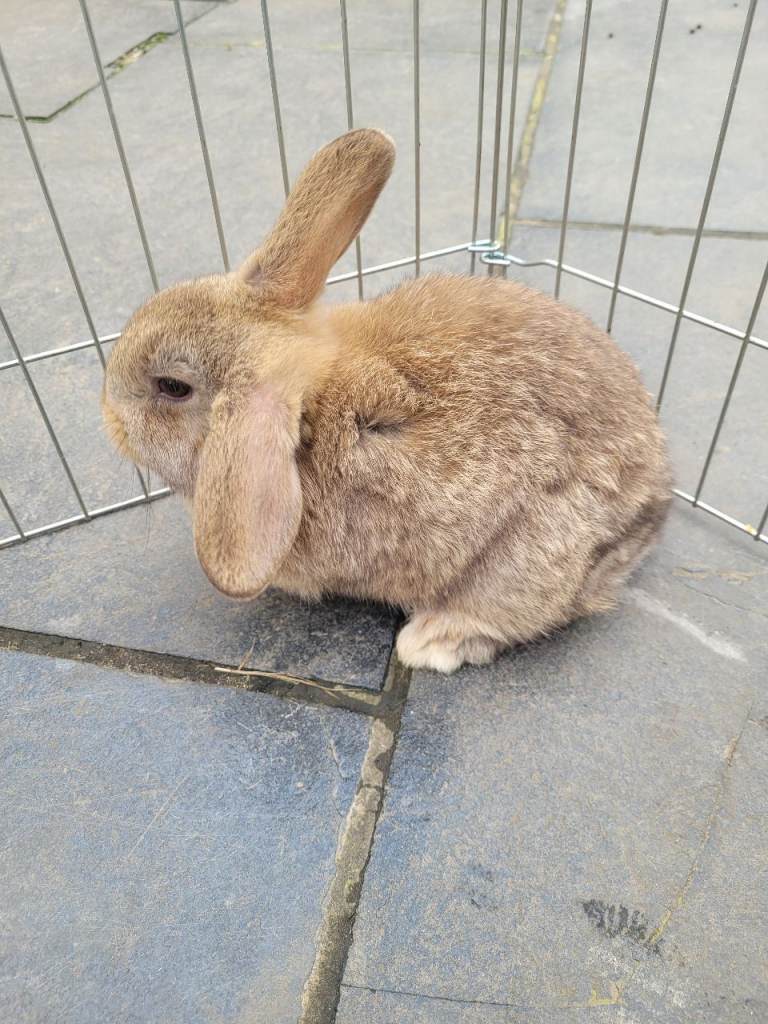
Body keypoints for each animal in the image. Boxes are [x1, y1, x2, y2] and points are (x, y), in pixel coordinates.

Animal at [103, 128, 672, 673]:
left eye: (172, 388)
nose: (108, 416)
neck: (313, 408)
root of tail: (653, 502)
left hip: (525, 561)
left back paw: (429, 641)